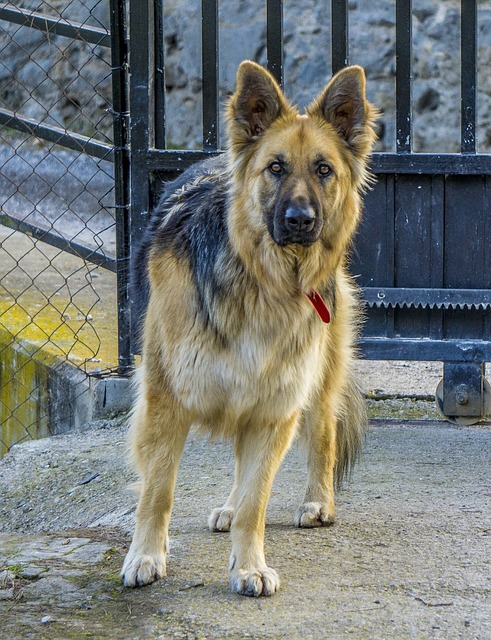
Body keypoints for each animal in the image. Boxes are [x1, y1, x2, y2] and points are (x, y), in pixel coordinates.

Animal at [121, 60, 378, 596]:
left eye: (324, 169)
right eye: (275, 168)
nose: (300, 221)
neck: (263, 282)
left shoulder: (275, 409)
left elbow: (255, 504)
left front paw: (249, 566)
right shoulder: (166, 401)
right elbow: (157, 491)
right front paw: (147, 556)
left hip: (312, 382)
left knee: (323, 430)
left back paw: (317, 500)